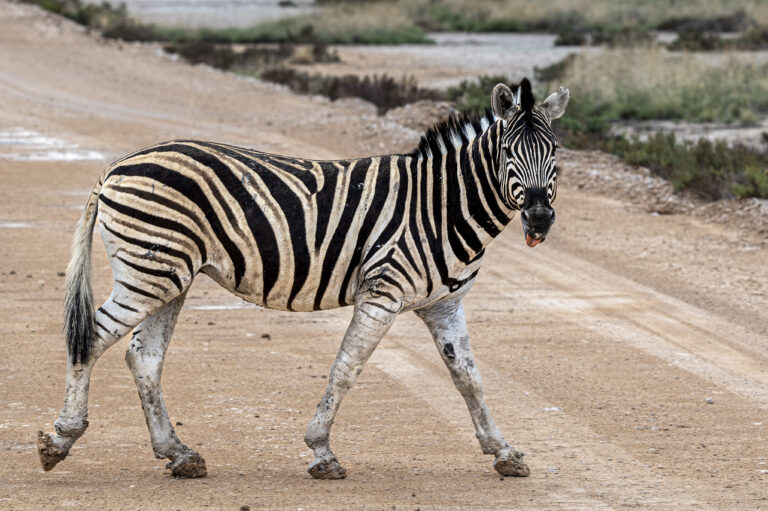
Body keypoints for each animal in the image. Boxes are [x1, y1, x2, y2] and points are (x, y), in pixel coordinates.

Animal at [39, 77, 568, 480]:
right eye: (508, 152)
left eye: (555, 153)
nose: (540, 218)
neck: (440, 206)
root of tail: (115, 167)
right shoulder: (383, 292)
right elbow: (346, 368)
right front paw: (321, 452)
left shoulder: (444, 304)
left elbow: (469, 379)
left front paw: (504, 452)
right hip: (149, 271)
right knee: (91, 337)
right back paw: (60, 439)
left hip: (170, 277)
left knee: (143, 357)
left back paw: (180, 454)